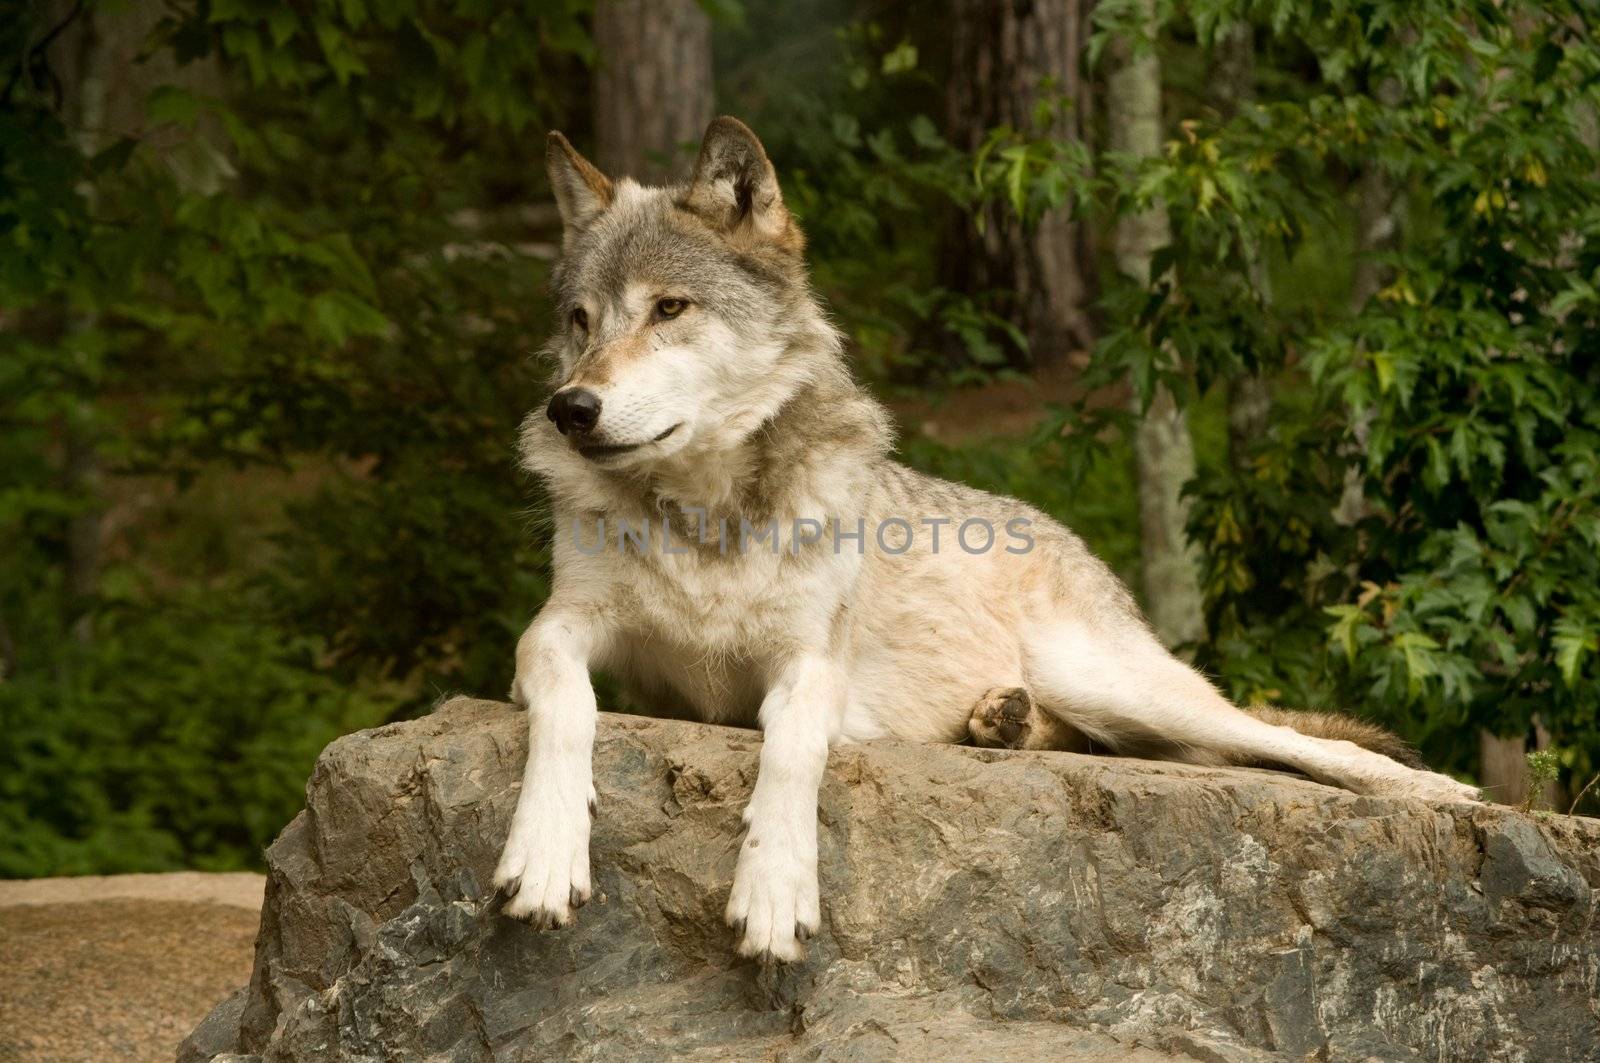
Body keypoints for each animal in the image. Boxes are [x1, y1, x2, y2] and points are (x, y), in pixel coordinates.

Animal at [492, 114, 1478, 960]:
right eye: (581, 320)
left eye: (669, 309)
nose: (571, 408)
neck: (704, 519)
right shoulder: (556, 630)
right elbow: (567, 706)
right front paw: (544, 851)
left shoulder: (811, 664)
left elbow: (793, 748)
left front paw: (775, 890)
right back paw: (1003, 721)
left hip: (1120, 681)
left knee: (1285, 740)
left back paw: (1440, 791)